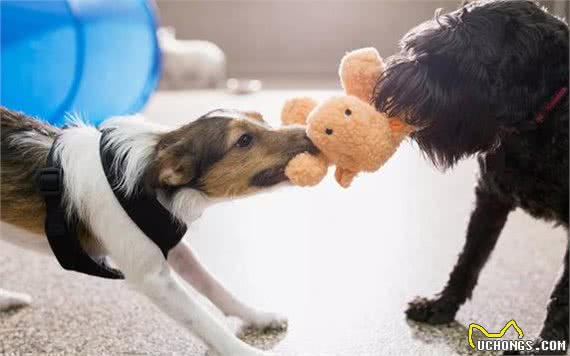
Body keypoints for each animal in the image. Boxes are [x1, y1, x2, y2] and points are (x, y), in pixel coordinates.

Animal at [0, 107, 316, 356]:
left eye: (261, 119)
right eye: (244, 140)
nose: (311, 132)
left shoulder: (173, 246)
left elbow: (216, 287)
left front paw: (257, 317)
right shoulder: (153, 278)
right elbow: (205, 321)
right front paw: (245, 351)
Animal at [372, 0, 564, 354]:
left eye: (458, 62)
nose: (390, 78)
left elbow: (561, 296)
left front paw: (545, 343)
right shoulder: (490, 197)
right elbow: (467, 259)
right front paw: (441, 306)